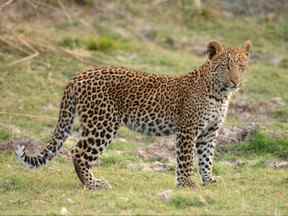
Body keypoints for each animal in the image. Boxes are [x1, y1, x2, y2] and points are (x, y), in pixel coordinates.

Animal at [15, 40, 251, 191]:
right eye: (225, 66)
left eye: (242, 66)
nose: (236, 82)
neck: (220, 94)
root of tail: (79, 75)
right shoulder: (188, 129)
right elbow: (185, 159)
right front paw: (187, 184)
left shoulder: (209, 133)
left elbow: (206, 158)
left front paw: (208, 180)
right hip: (103, 123)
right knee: (79, 153)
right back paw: (93, 184)